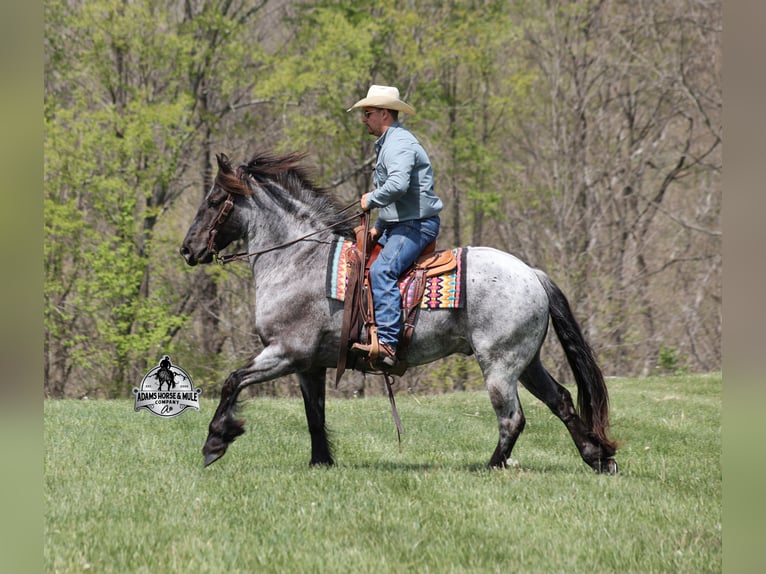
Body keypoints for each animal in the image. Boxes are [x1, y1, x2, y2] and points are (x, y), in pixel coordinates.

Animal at [179, 150, 618, 474]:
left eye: (214, 201)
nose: (187, 249)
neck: (300, 260)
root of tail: (532, 274)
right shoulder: (309, 364)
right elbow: (314, 414)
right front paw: (321, 462)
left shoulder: (286, 353)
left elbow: (233, 381)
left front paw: (215, 440)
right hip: (526, 361)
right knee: (561, 400)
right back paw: (598, 457)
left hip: (500, 364)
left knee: (512, 418)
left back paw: (491, 466)